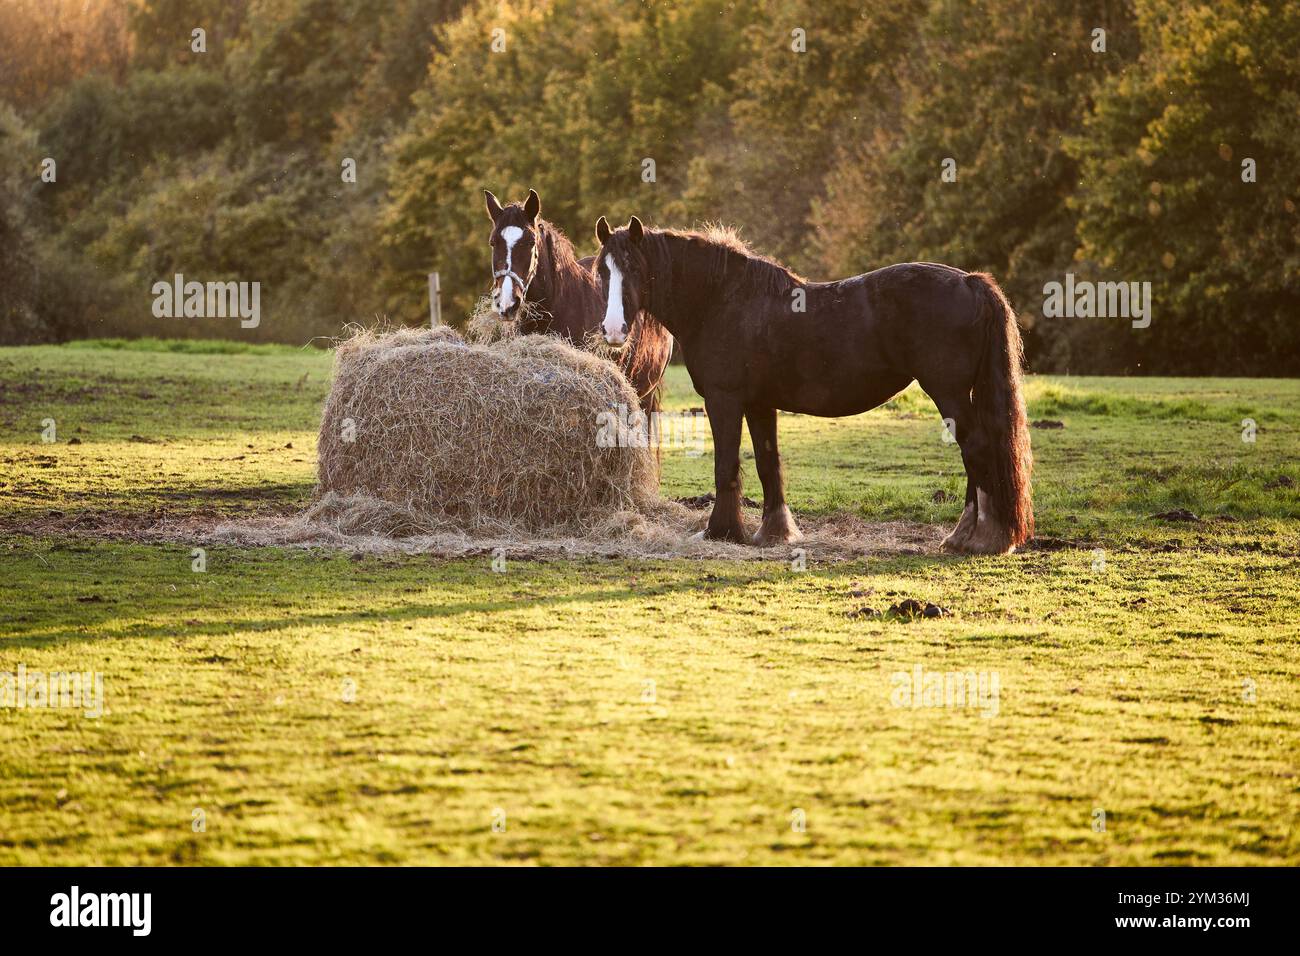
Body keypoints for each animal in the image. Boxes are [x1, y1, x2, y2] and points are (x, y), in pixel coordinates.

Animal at [592, 215, 1033, 555]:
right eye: (602, 271)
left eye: (634, 269)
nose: (613, 331)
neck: (721, 300)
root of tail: (970, 281)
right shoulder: (759, 403)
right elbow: (768, 462)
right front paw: (774, 533)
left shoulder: (724, 400)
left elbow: (726, 465)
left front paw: (721, 531)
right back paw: (964, 537)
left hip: (948, 392)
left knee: (977, 449)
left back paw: (984, 538)